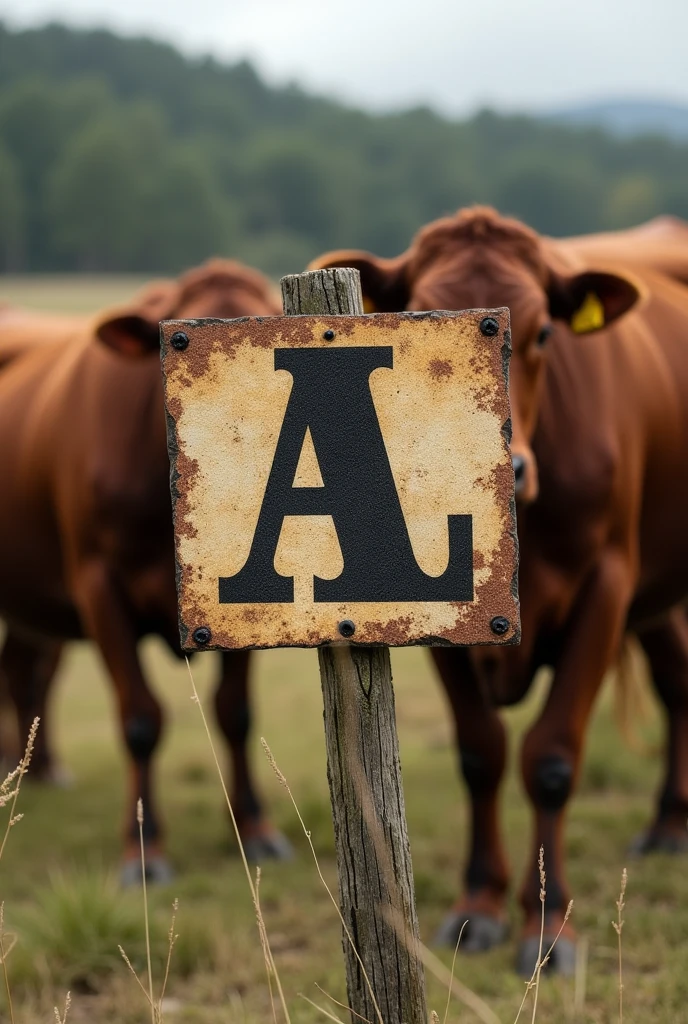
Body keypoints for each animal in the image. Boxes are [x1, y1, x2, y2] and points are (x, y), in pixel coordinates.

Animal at [0, 258, 288, 880]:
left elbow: (235, 712)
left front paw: (256, 829)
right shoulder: (98, 586)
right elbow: (139, 719)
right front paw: (144, 849)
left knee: (24, 668)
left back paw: (35, 771)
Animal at [313, 205, 688, 966]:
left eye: (543, 331)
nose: (503, 467)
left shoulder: (607, 586)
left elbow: (551, 757)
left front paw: (548, 922)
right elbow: (480, 752)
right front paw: (479, 905)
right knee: (675, 680)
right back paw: (668, 825)